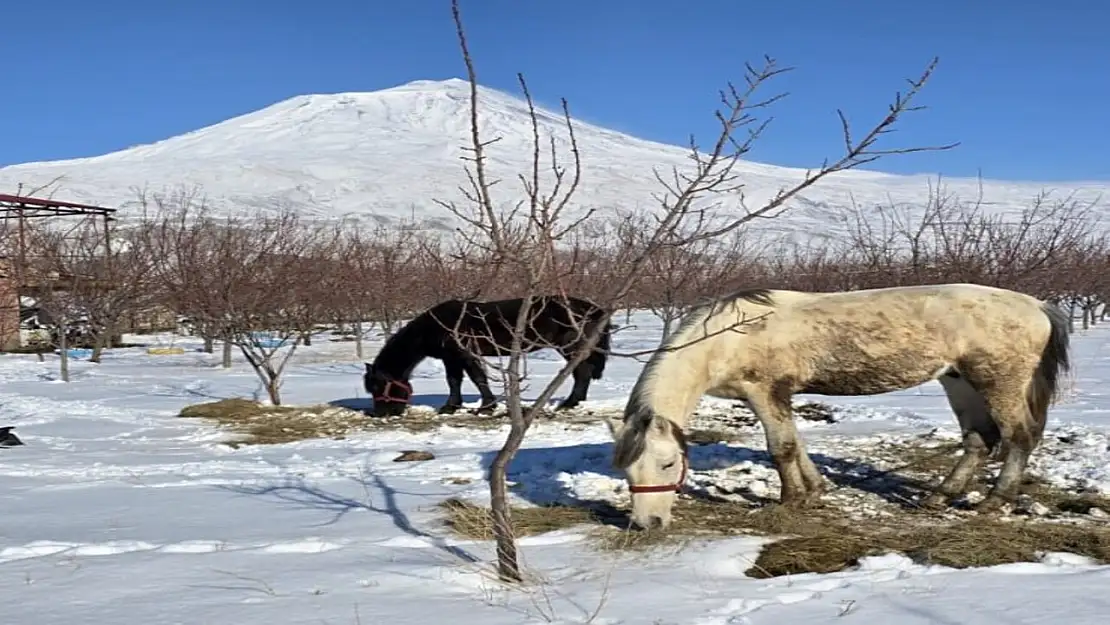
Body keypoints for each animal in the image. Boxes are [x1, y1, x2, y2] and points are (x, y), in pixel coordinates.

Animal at [612, 286, 1070, 530]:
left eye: (669, 464)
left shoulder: (765, 392)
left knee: (1018, 437)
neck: (728, 336)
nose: (647, 524)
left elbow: (781, 449)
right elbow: (797, 445)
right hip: (959, 380)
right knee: (978, 440)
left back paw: (994, 501)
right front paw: (816, 490)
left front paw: (790, 500)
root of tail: (1037, 305)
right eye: (627, 471)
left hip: (999, 381)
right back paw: (939, 497)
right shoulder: (775, 397)